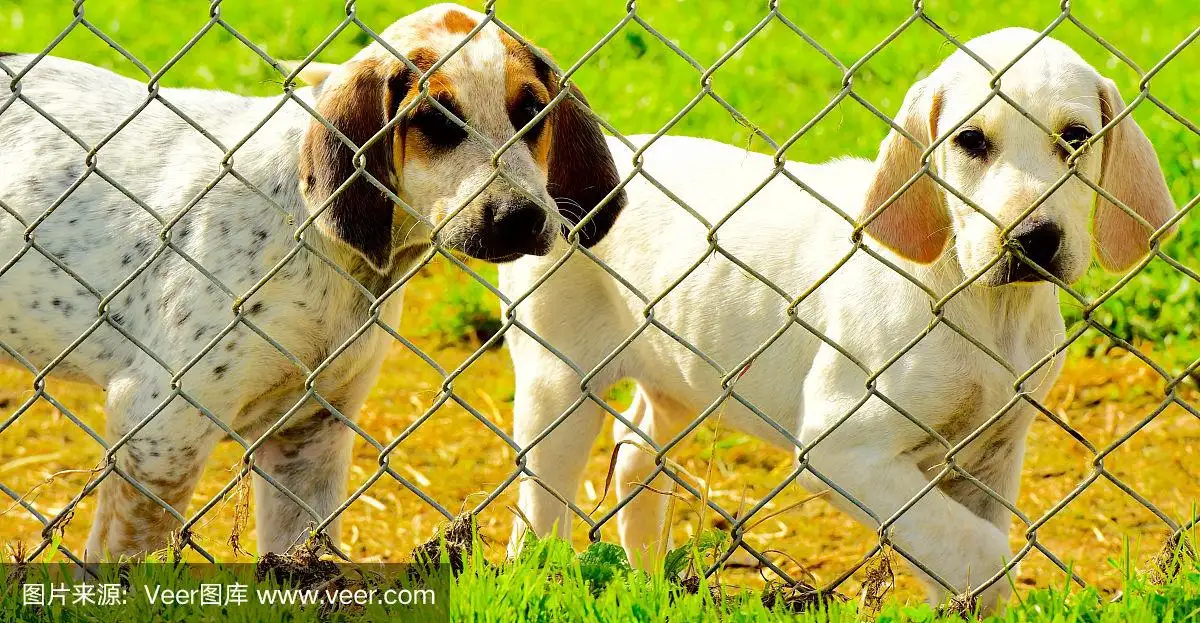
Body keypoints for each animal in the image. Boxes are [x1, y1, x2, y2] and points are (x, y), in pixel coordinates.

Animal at [2, 3, 628, 561]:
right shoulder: (159, 434)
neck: (322, 249)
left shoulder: (310, 438)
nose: (522, 217)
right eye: (433, 122)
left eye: (533, 113)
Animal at [501, 26, 1176, 612]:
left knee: (636, 457)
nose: (1032, 239)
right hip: (557, 386)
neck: (984, 305)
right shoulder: (845, 449)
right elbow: (979, 550)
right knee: (536, 515)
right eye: (971, 142)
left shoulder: (990, 457)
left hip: (683, 380)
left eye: (1077, 136)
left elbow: (961, 551)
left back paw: (651, 585)